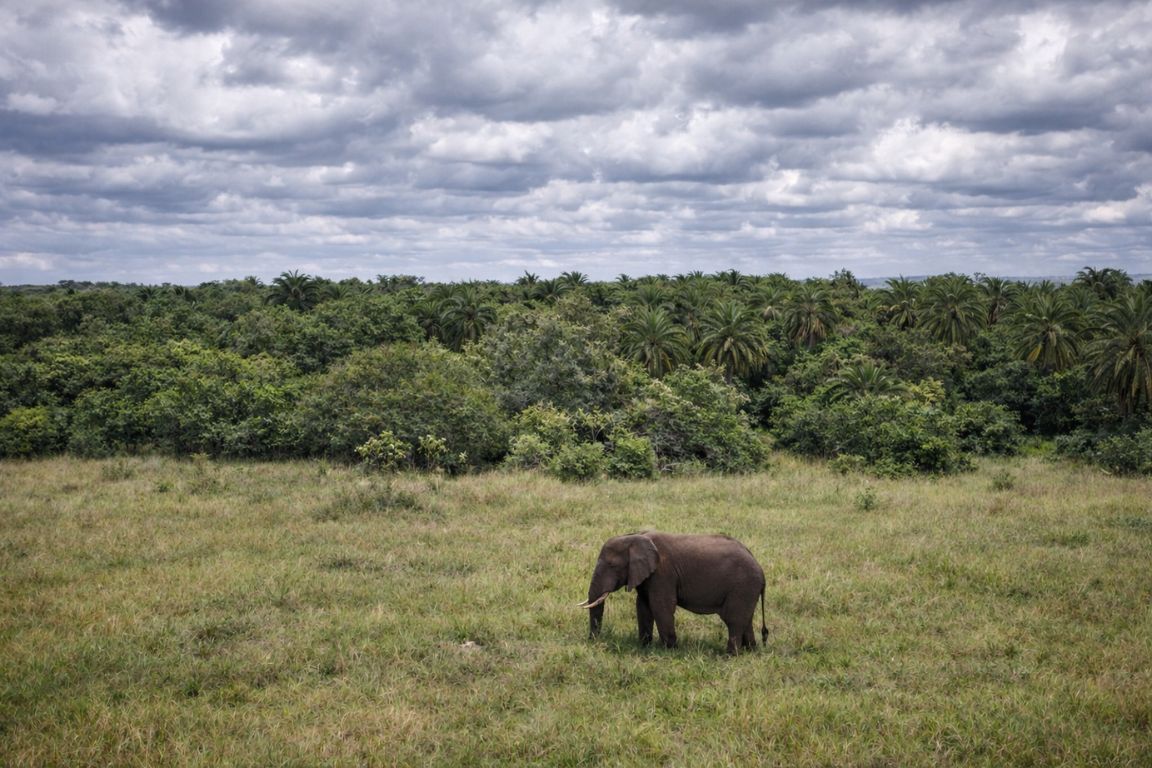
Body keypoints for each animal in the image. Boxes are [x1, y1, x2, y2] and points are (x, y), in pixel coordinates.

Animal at [578, 531, 767, 654]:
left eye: (612, 565)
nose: (593, 642)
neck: (635, 536)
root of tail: (760, 568)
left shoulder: (663, 573)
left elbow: (660, 605)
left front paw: (669, 651)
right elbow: (643, 606)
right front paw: (644, 647)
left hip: (742, 586)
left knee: (733, 619)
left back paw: (729, 655)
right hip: (746, 589)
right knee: (745, 620)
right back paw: (750, 651)